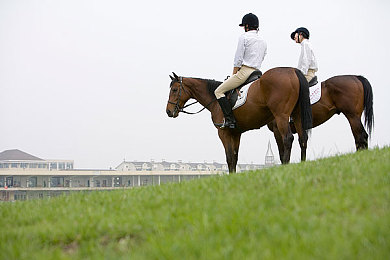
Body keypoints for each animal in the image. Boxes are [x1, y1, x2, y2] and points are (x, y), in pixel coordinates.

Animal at [166, 67, 312, 173]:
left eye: (174, 90)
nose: (168, 111)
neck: (216, 100)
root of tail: (292, 71)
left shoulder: (223, 133)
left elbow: (229, 157)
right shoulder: (236, 134)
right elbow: (235, 157)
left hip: (281, 116)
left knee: (288, 138)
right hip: (297, 115)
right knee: (303, 138)